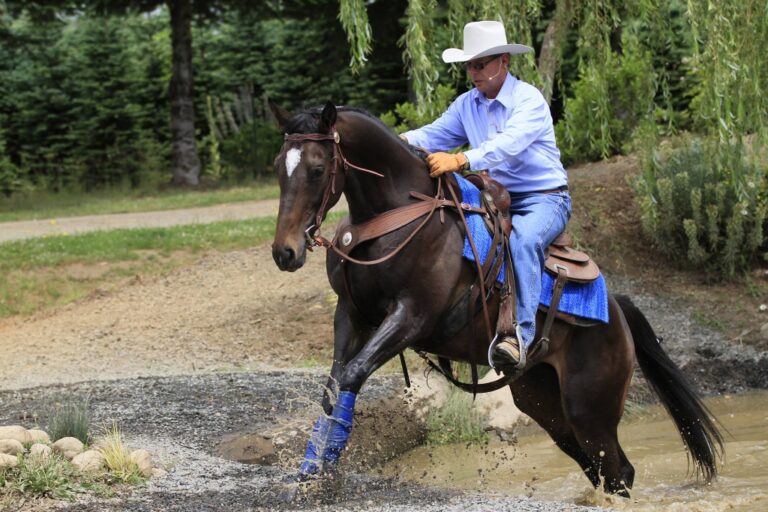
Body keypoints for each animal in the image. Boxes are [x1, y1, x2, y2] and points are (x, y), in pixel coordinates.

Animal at [269, 101, 723, 498]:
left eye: (317, 168)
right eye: (278, 167)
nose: (285, 252)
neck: (393, 217)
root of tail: (617, 311)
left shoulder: (411, 317)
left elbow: (352, 376)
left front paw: (324, 472)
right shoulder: (351, 314)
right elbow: (332, 389)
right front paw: (310, 473)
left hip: (590, 406)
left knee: (618, 472)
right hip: (544, 402)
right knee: (596, 468)